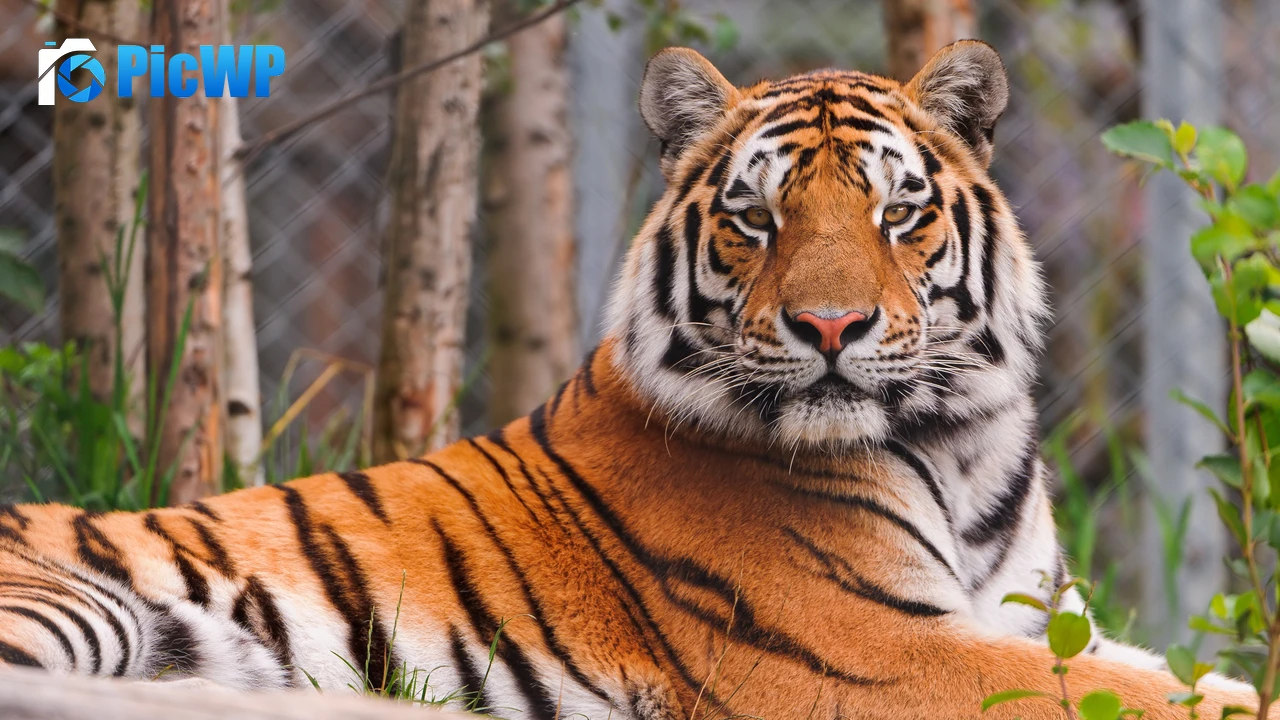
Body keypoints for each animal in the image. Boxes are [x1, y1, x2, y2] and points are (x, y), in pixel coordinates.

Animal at [0, 41, 1256, 719]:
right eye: (757, 218)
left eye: (895, 213)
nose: (830, 326)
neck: (958, 444)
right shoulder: (872, 652)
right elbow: (1162, 696)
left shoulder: (1036, 618)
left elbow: (1175, 672)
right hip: (74, 605)